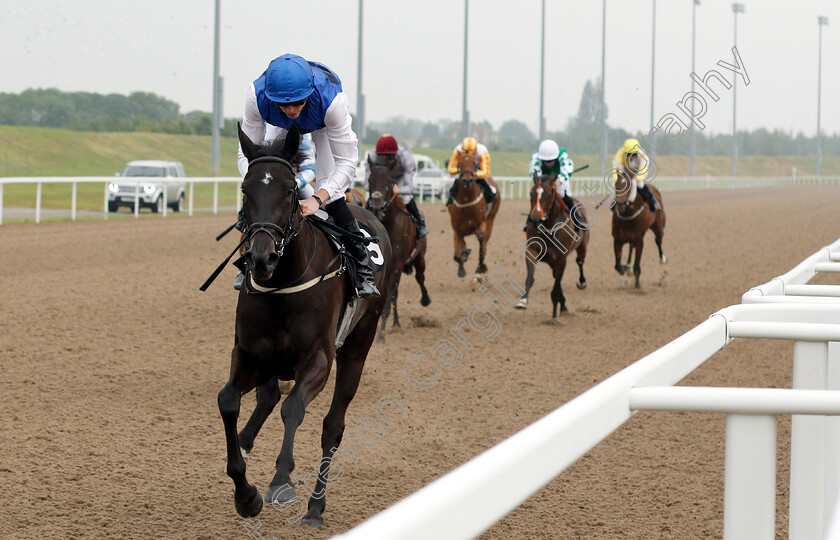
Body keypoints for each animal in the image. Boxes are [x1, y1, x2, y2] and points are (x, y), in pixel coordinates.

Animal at [215, 122, 392, 528]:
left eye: (289, 190)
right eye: (246, 189)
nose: (261, 257)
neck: (282, 283)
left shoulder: (319, 359)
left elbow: (293, 408)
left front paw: (281, 480)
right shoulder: (249, 353)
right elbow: (229, 401)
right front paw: (245, 494)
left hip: (359, 345)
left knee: (332, 426)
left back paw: (315, 507)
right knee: (267, 398)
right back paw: (248, 440)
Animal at [368, 155, 434, 342]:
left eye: (390, 182)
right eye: (369, 180)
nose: (376, 207)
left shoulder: (397, 265)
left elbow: (388, 300)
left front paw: (381, 335)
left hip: (420, 257)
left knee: (420, 277)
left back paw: (425, 299)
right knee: (395, 294)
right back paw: (396, 323)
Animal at [512, 173, 592, 316]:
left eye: (549, 194)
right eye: (531, 193)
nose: (535, 218)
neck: (549, 227)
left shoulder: (561, 257)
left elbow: (557, 284)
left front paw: (558, 307)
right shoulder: (532, 251)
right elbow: (530, 278)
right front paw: (523, 301)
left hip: (582, 245)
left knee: (580, 261)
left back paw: (581, 283)